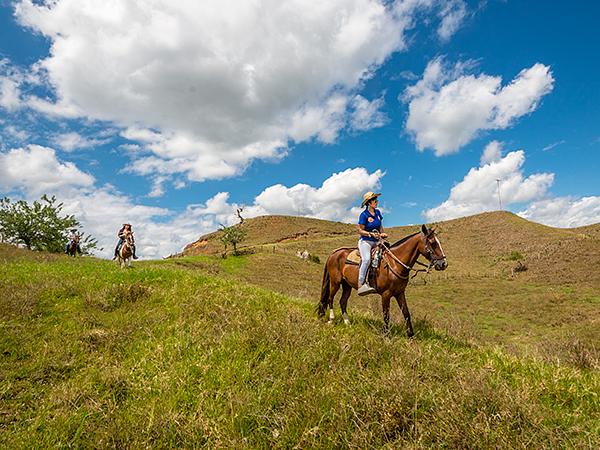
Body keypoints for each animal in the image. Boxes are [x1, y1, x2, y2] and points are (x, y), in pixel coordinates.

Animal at [316, 225, 448, 334]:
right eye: (432, 243)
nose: (443, 264)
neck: (394, 263)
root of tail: (334, 253)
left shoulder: (400, 293)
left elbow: (406, 313)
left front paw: (411, 335)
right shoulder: (386, 294)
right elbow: (386, 315)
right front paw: (386, 335)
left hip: (347, 285)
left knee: (343, 302)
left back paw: (347, 323)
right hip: (335, 282)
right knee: (330, 298)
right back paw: (331, 320)